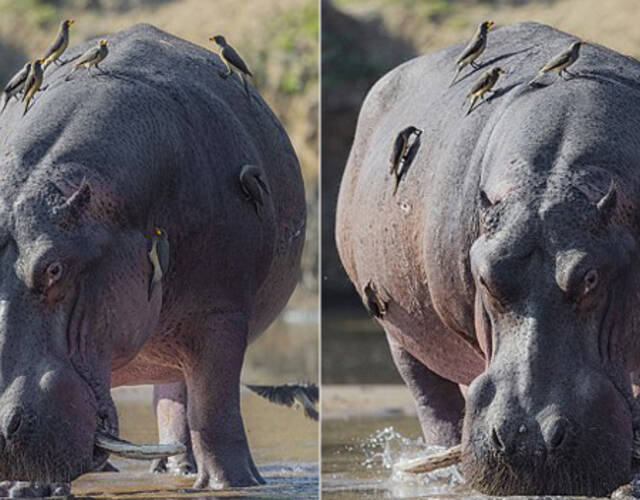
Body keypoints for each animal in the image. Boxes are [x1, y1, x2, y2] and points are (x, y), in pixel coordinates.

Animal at [0, 22, 306, 492]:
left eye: (54, 268)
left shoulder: (221, 312)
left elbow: (215, 409)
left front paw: (235, 485)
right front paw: (25, 488)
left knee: (182, 395)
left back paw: (183, 470)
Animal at [336, 20, 640, 496]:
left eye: (590, 277)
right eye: (483, 276)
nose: (529, 440)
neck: (552, 183)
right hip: (400, 337)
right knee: (433, 404)